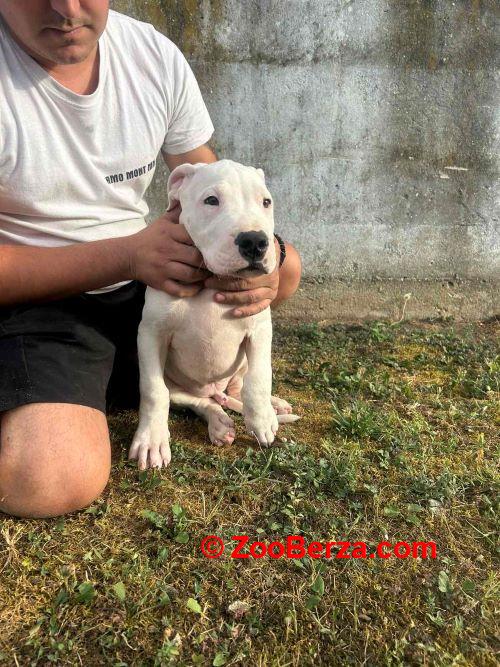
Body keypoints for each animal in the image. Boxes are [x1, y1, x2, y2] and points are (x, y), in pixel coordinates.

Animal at [130, 158, 300, 470]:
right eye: (211, 200)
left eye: (266, 202)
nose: (255, 241)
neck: (211, 281)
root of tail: (214, 389)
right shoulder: (151, 333)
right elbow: (153, 391)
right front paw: (151, 441)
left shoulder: (259, 328)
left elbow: (259, 377)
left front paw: (262, 419)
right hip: (179, 385)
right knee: (199, 402)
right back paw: (219, 424)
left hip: (239, 368)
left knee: (239, 388)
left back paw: (272, 405)